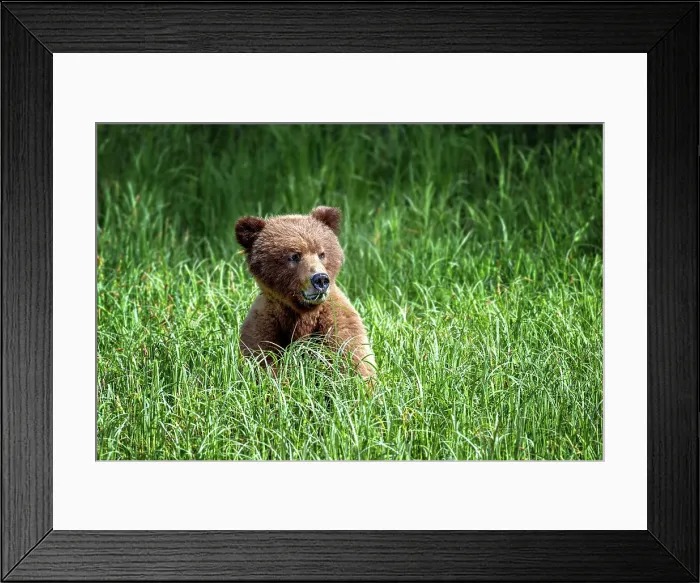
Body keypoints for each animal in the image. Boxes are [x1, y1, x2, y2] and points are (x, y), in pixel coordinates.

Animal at [235, 206, 376, 381]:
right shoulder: (265, 323)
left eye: (322, 253)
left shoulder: (335, 320)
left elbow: (353, 358)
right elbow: (263, 361)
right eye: (294, 256)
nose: (320, 279)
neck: (304, 311)